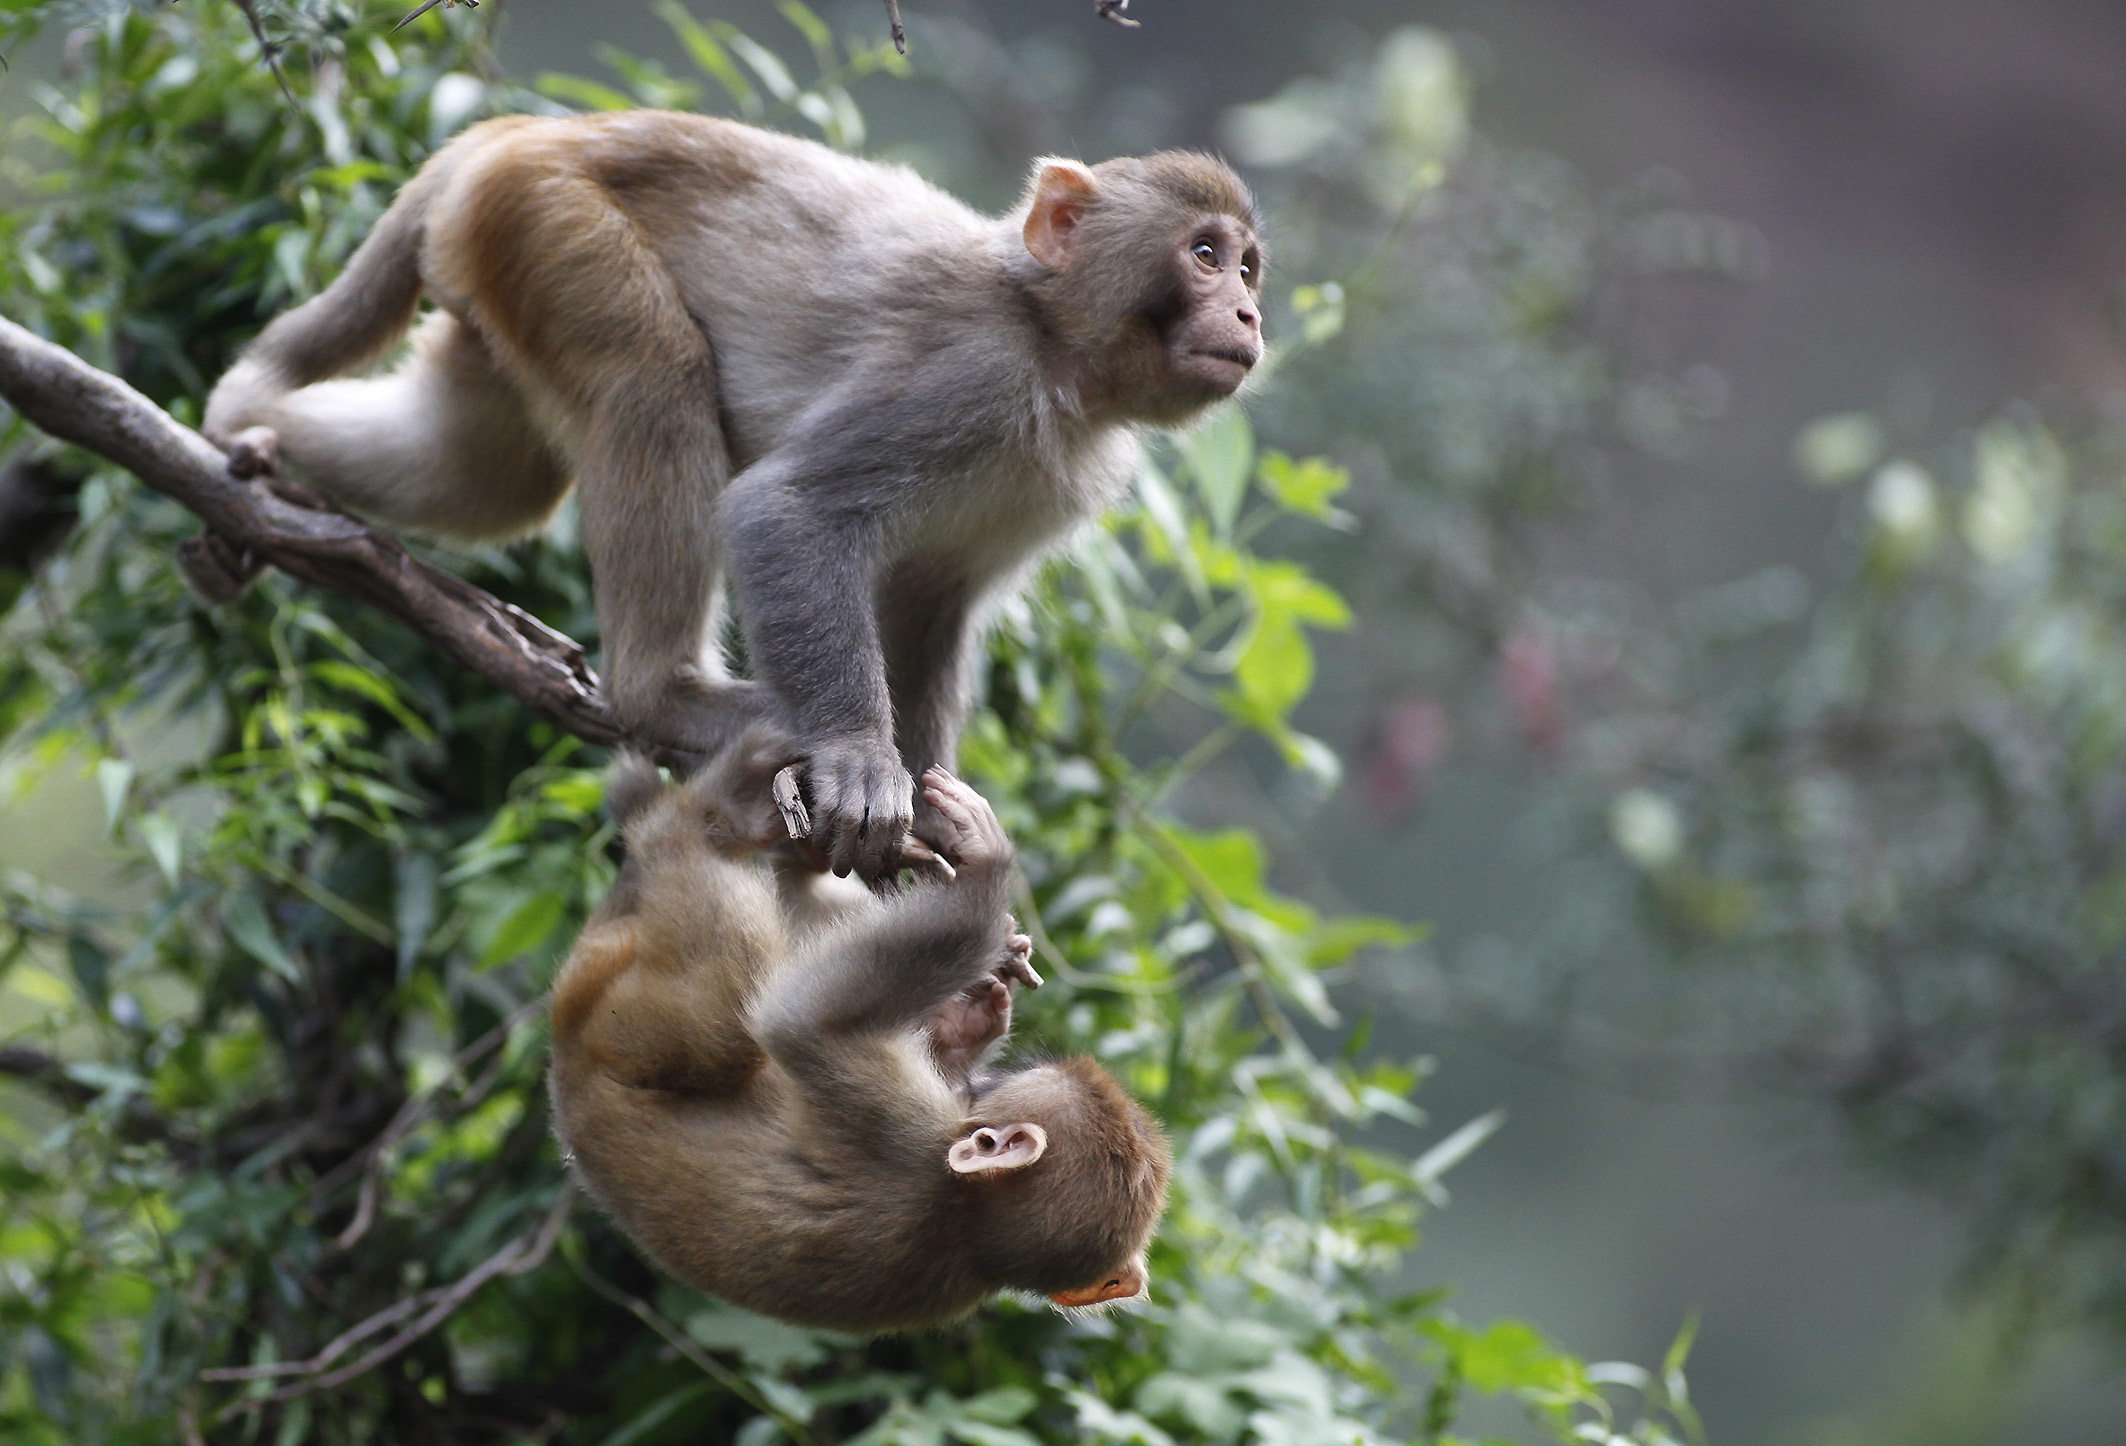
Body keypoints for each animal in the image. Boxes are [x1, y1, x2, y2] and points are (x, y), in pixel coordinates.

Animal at [199, 112, 1258, 876]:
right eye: (1204, 255)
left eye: (1249, 267)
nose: (1249, 314)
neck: (1054, 351)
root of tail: (521, 131)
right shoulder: (966, 378)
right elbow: (785, 508)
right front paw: (860, 760)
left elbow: (930, 602)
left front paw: (939, 845)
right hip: (547, 223)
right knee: (650, 375)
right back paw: (667, 696)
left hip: (494, 279)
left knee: (481, 476)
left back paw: (255, 440)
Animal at [544, 735, 1182, 1335]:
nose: (992, 1078)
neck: (971, 1226)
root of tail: (566, 1084)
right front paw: (971, 1011)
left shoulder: (903, 1128)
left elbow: (797, 1021)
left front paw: (986, 863)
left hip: (608, 1014)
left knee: (722, 1028)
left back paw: (691, 817)